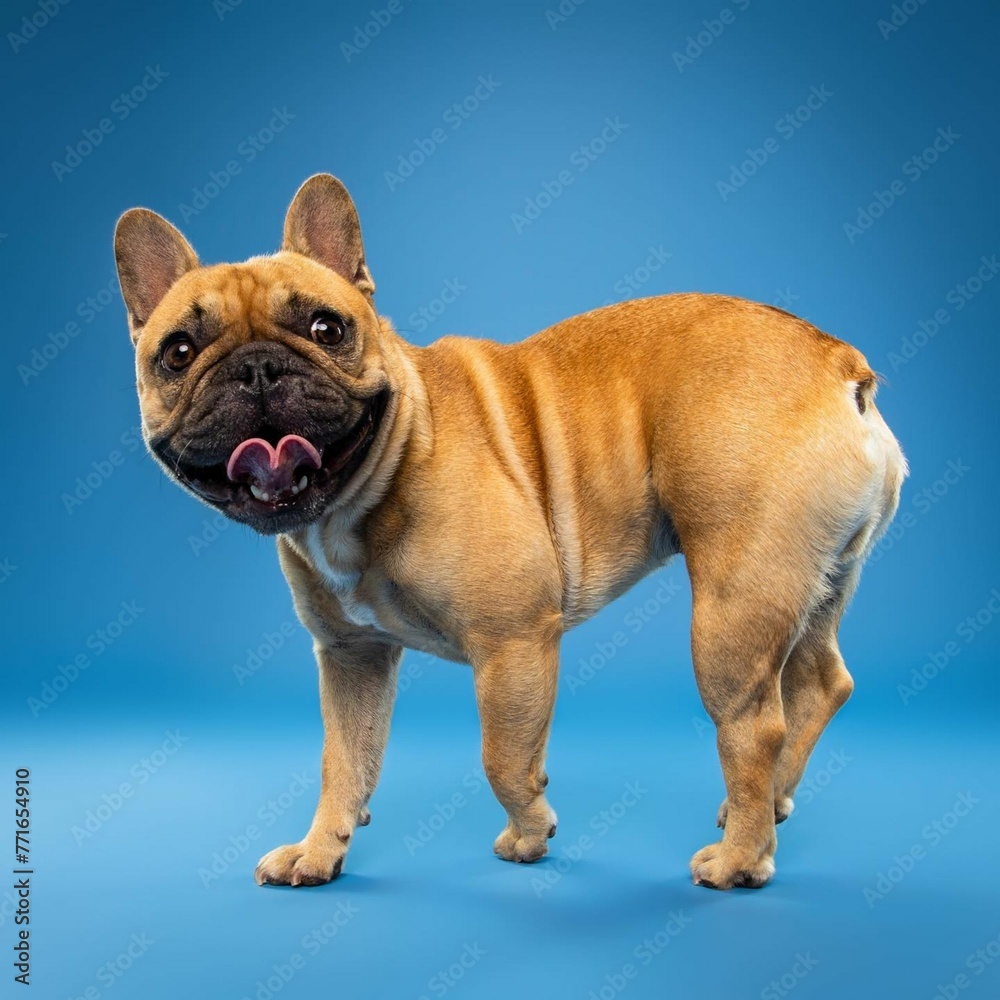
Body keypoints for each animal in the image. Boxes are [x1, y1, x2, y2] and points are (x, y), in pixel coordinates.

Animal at [115, 172, 908, 892]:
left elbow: (501, 755)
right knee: (818, 682)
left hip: (732, 603)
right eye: (178, 353)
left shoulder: (513, 642)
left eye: (325, 329)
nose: (257, 370)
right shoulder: (351, 659)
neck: (376, 478)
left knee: (755, 725)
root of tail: (838, 360)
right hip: (809, 579)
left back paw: (741, 857)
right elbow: (343, 762)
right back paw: (771, 806)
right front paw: (319, 851)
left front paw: (530, 832)